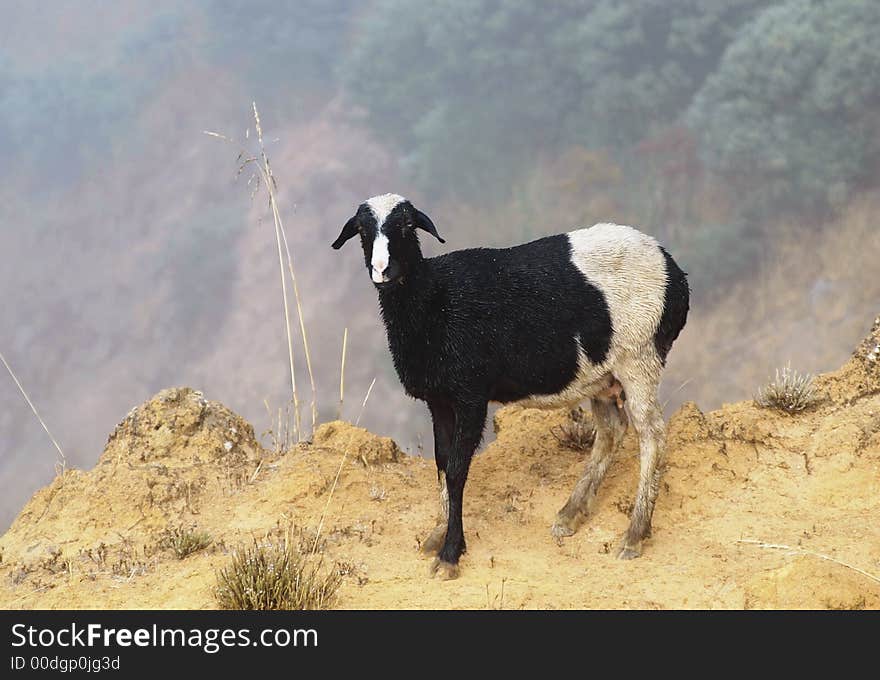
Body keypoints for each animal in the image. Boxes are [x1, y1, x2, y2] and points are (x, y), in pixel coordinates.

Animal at [330, 191, 688, 580]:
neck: (436, 299)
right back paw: (570, 514)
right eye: (362, 230)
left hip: (640, 359)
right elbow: (442, 464)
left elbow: (456, 471)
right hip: (602, 374)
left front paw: (450, 553)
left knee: (652, 435)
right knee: (611, 430)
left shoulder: (471, 396)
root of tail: (674, 270)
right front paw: (440, 534)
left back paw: (634, 534)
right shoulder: (439, 400)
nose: (382, 270)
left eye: (408, 225)